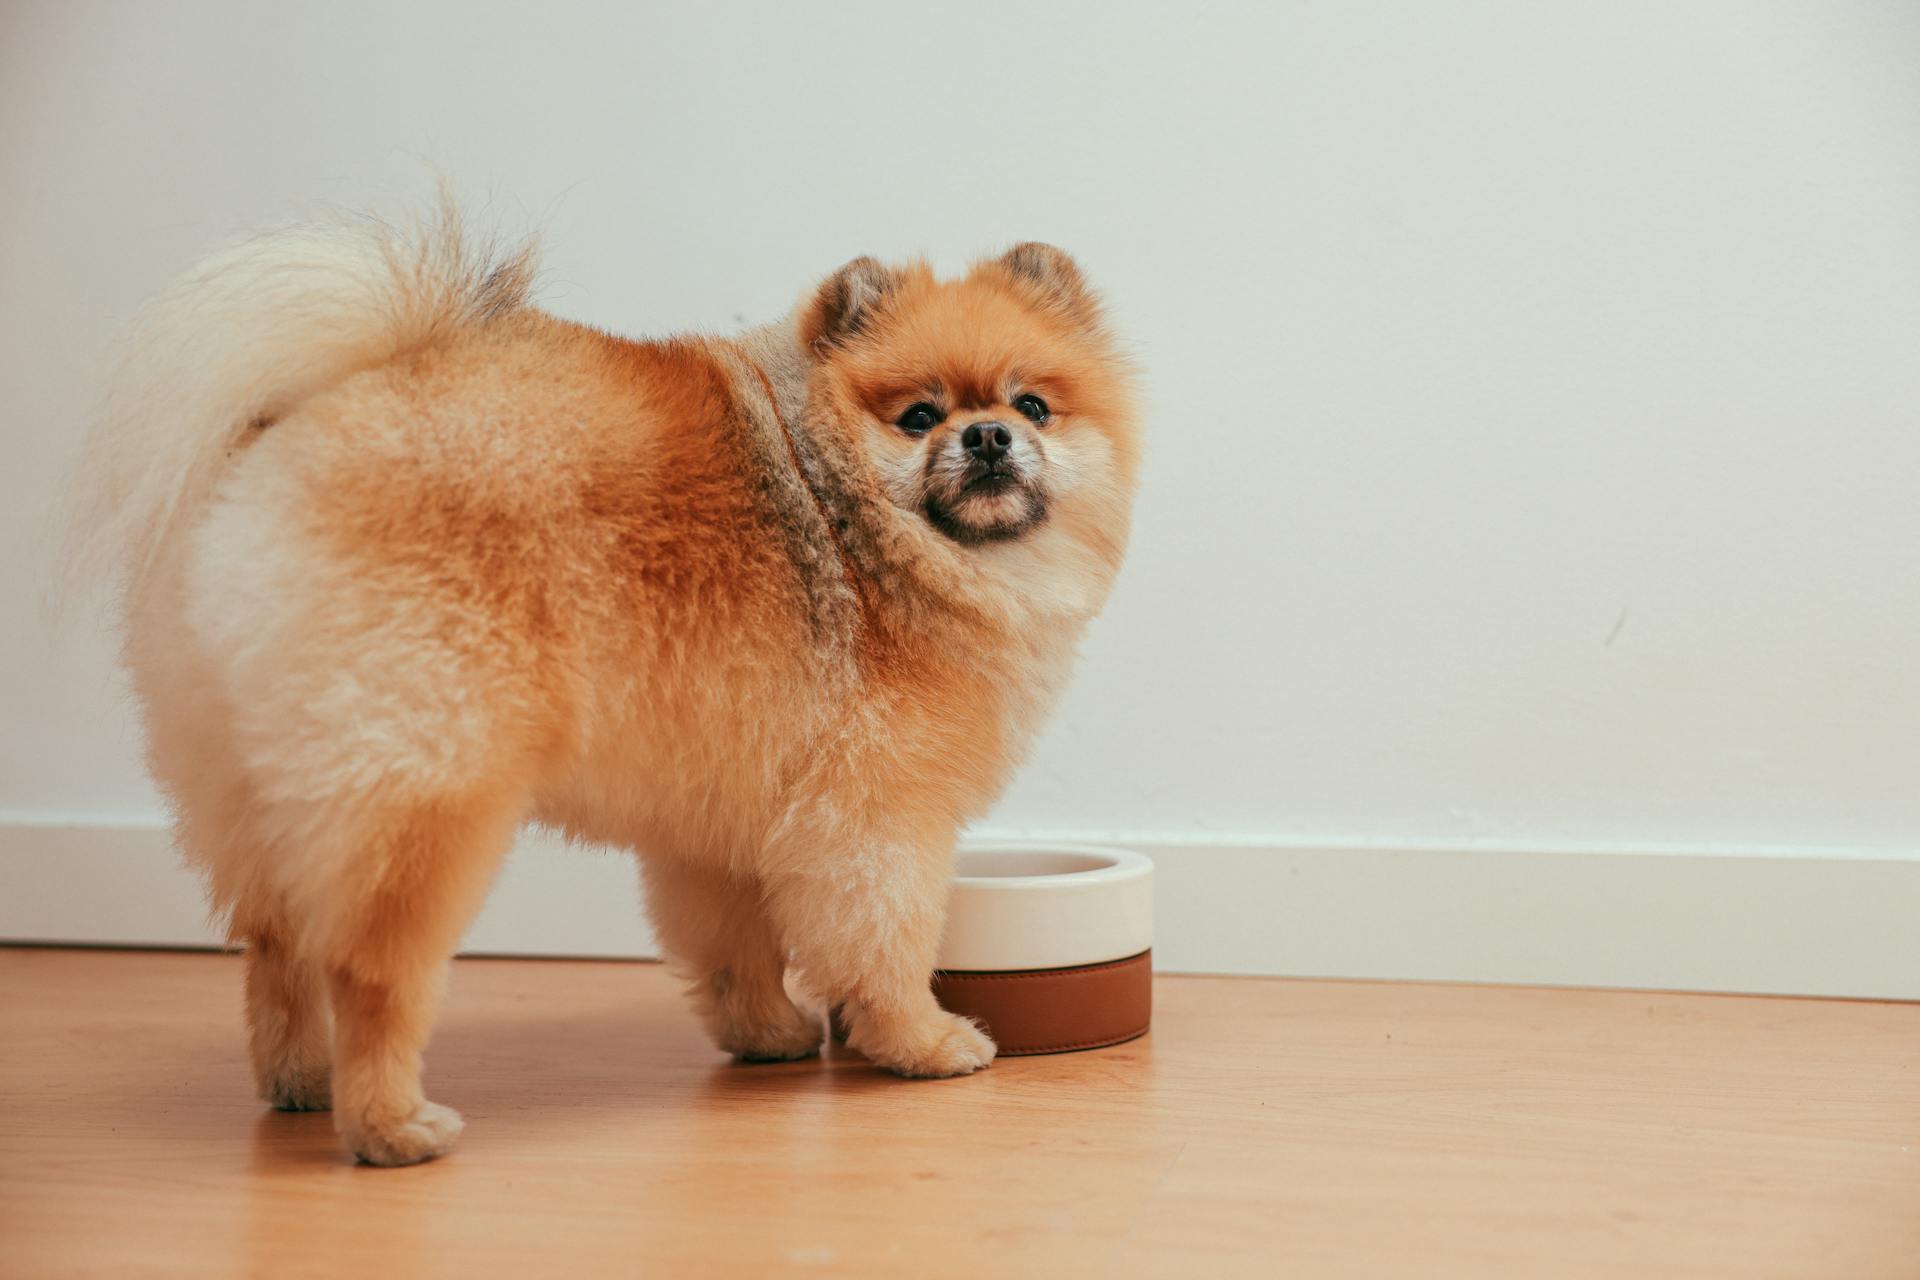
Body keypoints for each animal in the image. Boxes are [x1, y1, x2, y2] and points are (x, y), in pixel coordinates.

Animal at [78, 205, 1136, 1166]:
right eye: (920, 416)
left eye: (1033, 406)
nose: (989, 437)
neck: (864, 524)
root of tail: (289, 431)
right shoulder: (878, 816)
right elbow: (887, 940)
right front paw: (920, 1041)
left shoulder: (725, 810)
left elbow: (733, 944)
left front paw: (768, 1035)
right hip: (425, 785)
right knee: (366, 969)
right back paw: (390, 1126)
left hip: (248, 780)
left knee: (274, 949)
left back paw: (299, 1084)